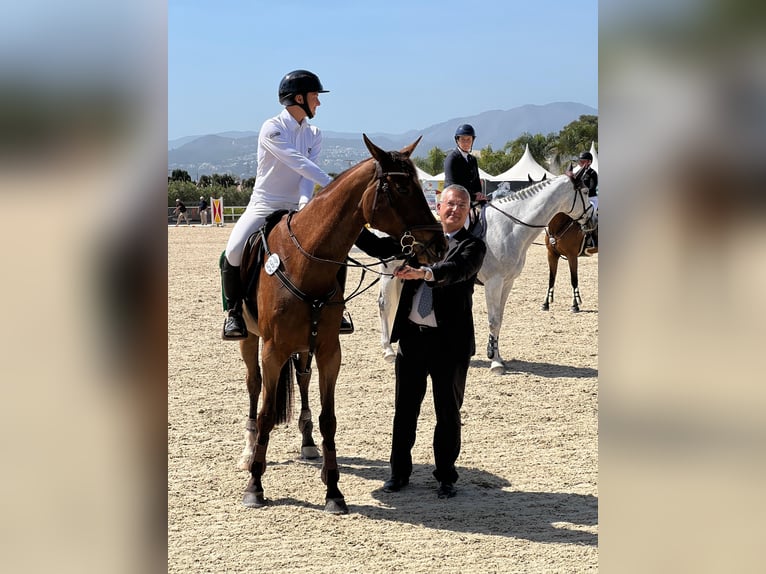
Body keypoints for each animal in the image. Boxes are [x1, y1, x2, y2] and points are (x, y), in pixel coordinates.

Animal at [237, 136, 448, 516]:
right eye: (402, 186)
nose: (439, 244)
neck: (303, 262)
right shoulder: (272, 351)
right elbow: (265, 414)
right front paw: (255, 485)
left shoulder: (329, 351)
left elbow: (328, 418)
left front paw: (333, 490)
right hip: (250, 340)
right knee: (254, 386)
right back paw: (248, 453)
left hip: (304, 349)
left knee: (303, 381)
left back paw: (307, 443)